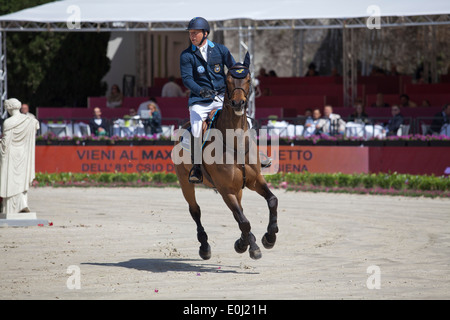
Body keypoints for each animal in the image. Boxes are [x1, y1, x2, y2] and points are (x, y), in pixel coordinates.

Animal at [172, 52, 278, 260]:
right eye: (228, 80)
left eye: (248, 79)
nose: (238, 103)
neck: (235, 143)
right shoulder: (225, 189)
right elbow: (243, 221)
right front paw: (249, 245)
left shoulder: (254, 180)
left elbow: (271, 201)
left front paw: (269, 237)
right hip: (186, 183)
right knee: (195, 211)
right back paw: (205, 247)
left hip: (239, 188)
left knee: (241, 211)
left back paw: (248, 242)